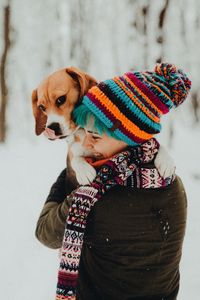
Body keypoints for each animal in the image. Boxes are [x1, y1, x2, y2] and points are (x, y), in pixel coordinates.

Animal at [31, 66, 175, 185]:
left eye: (61, 99)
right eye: (42, 107)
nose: (51, 128)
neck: (83, 131)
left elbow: (155, 143)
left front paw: (166, 161)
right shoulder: (73, 149)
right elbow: (75, 158)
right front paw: (84, 170)